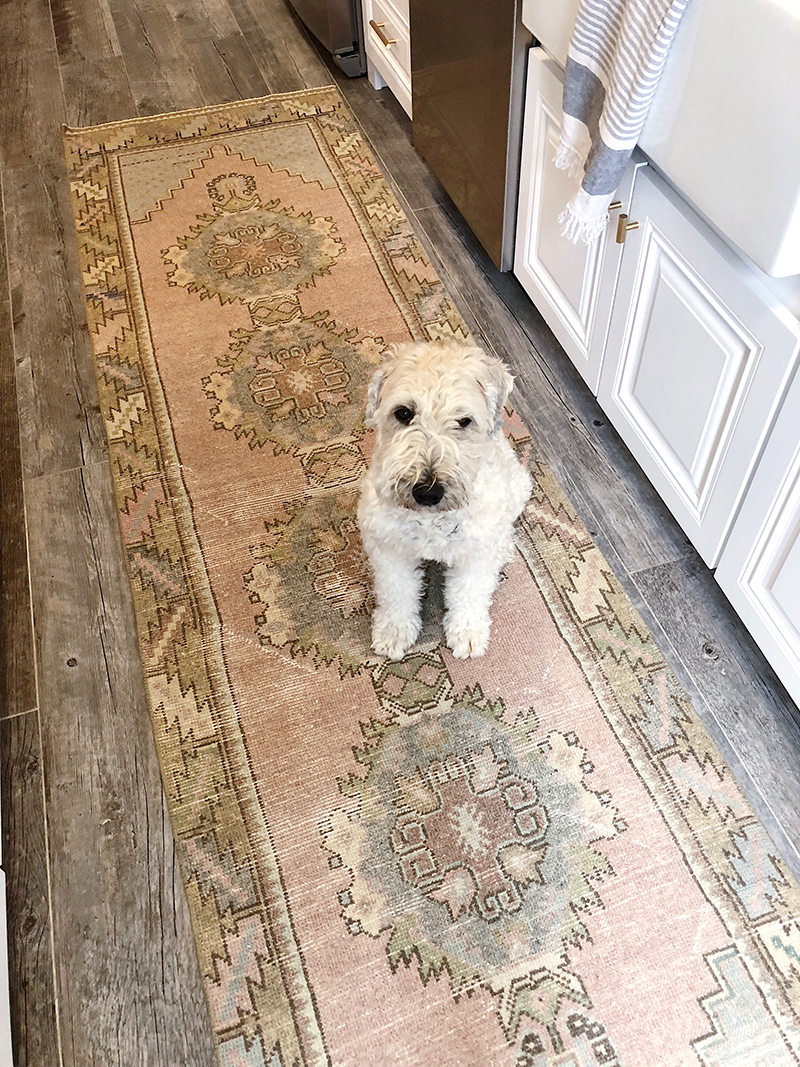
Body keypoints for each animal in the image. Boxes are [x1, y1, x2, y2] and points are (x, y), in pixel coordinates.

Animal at [356, 341, 533, 657]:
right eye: (404, 413)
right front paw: (394, 630)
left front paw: (468, 633)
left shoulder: (476, 552)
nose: (428, 492)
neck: (431, 521)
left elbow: (469, 592)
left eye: (464, 421)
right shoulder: (388, 547)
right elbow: (396, 591)